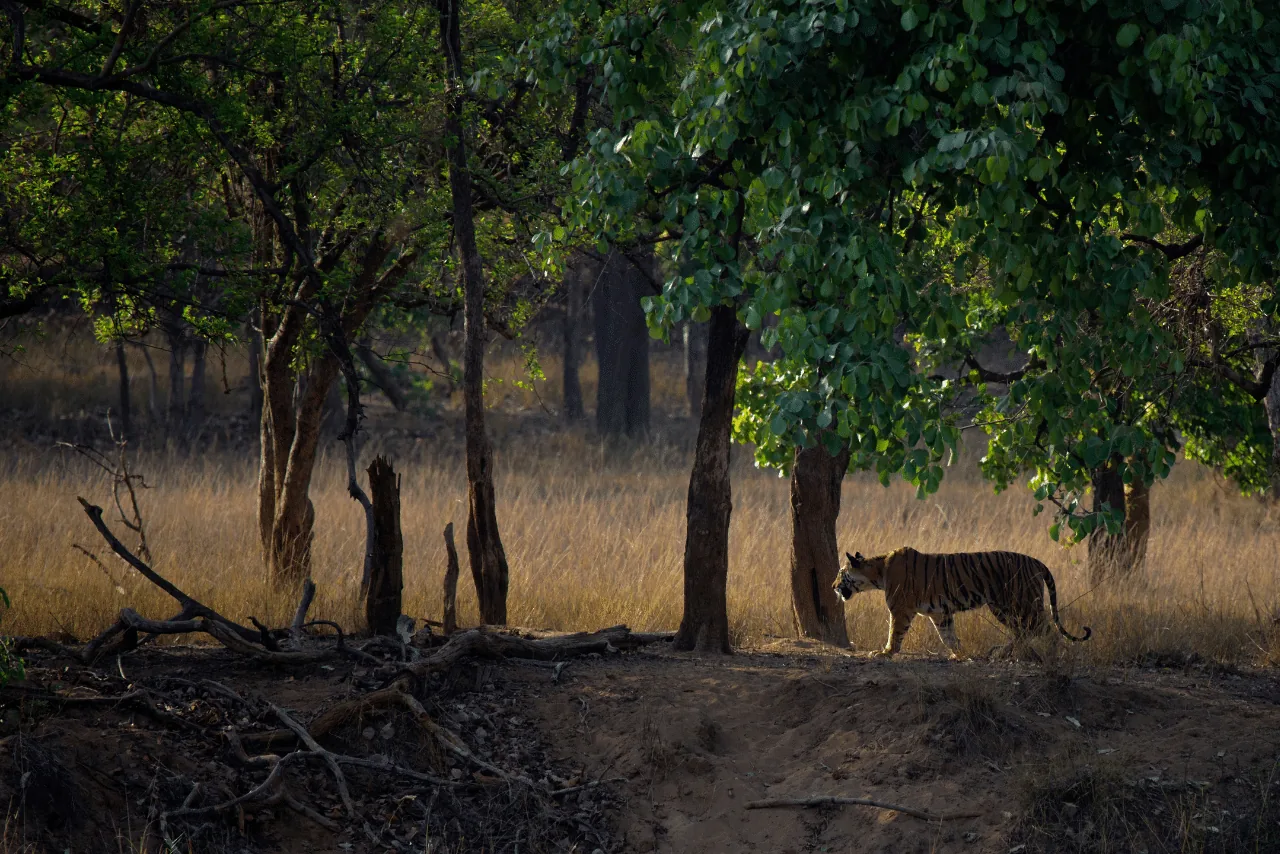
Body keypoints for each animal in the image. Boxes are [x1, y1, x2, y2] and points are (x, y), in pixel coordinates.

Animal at [832, 547, 1091, 659]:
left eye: (840, 573)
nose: (833, 585)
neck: (877, 572)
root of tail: (1037, 561)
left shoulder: (900, 609)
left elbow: (894, 632)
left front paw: (885, 652)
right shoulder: (940, 614)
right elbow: (949, 637)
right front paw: (961, 655)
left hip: (1020, 604)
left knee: (1045, 631)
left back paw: (1051, 656)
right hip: (1005, 607)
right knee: (1022, 633)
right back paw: (1003, 652)